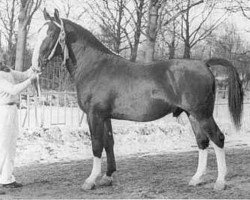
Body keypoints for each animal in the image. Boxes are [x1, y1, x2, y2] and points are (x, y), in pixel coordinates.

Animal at [32, 8, 243, 191]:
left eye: (51, 33)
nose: (36, 65)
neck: (94, 67)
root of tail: (204, 63)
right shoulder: (105, 116)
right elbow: (109, 143)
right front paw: (107, 177)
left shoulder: (95, 115)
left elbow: (96, 145)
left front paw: (90, 180)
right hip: (192, 115)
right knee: (202, 141)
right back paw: (196, 179)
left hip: (203, 114)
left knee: (218, 138)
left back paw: (220, 182)